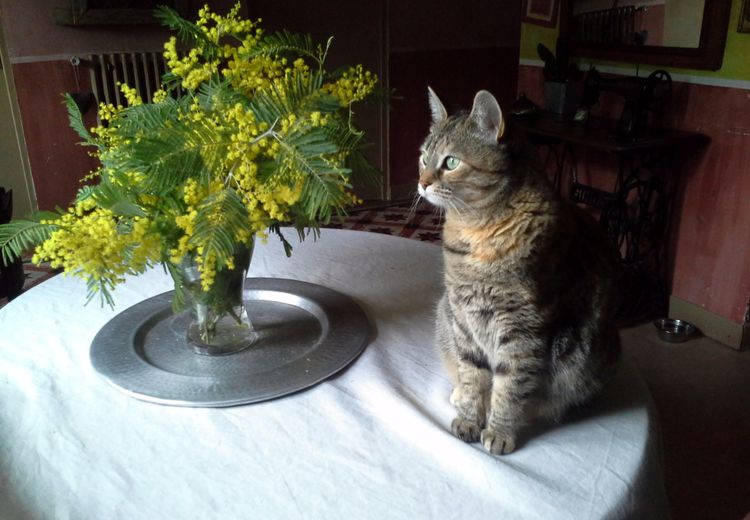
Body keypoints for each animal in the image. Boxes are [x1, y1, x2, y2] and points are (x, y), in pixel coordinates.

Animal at [424, 89, 624, 456]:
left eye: (451, 162)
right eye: (423, 158)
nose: (422, 183)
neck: (477, 231)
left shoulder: (522, 331)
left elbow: (510, 388)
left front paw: (499, 431)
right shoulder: (463, 320)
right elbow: (473, 376)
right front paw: (471, 419)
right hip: (445, 312)